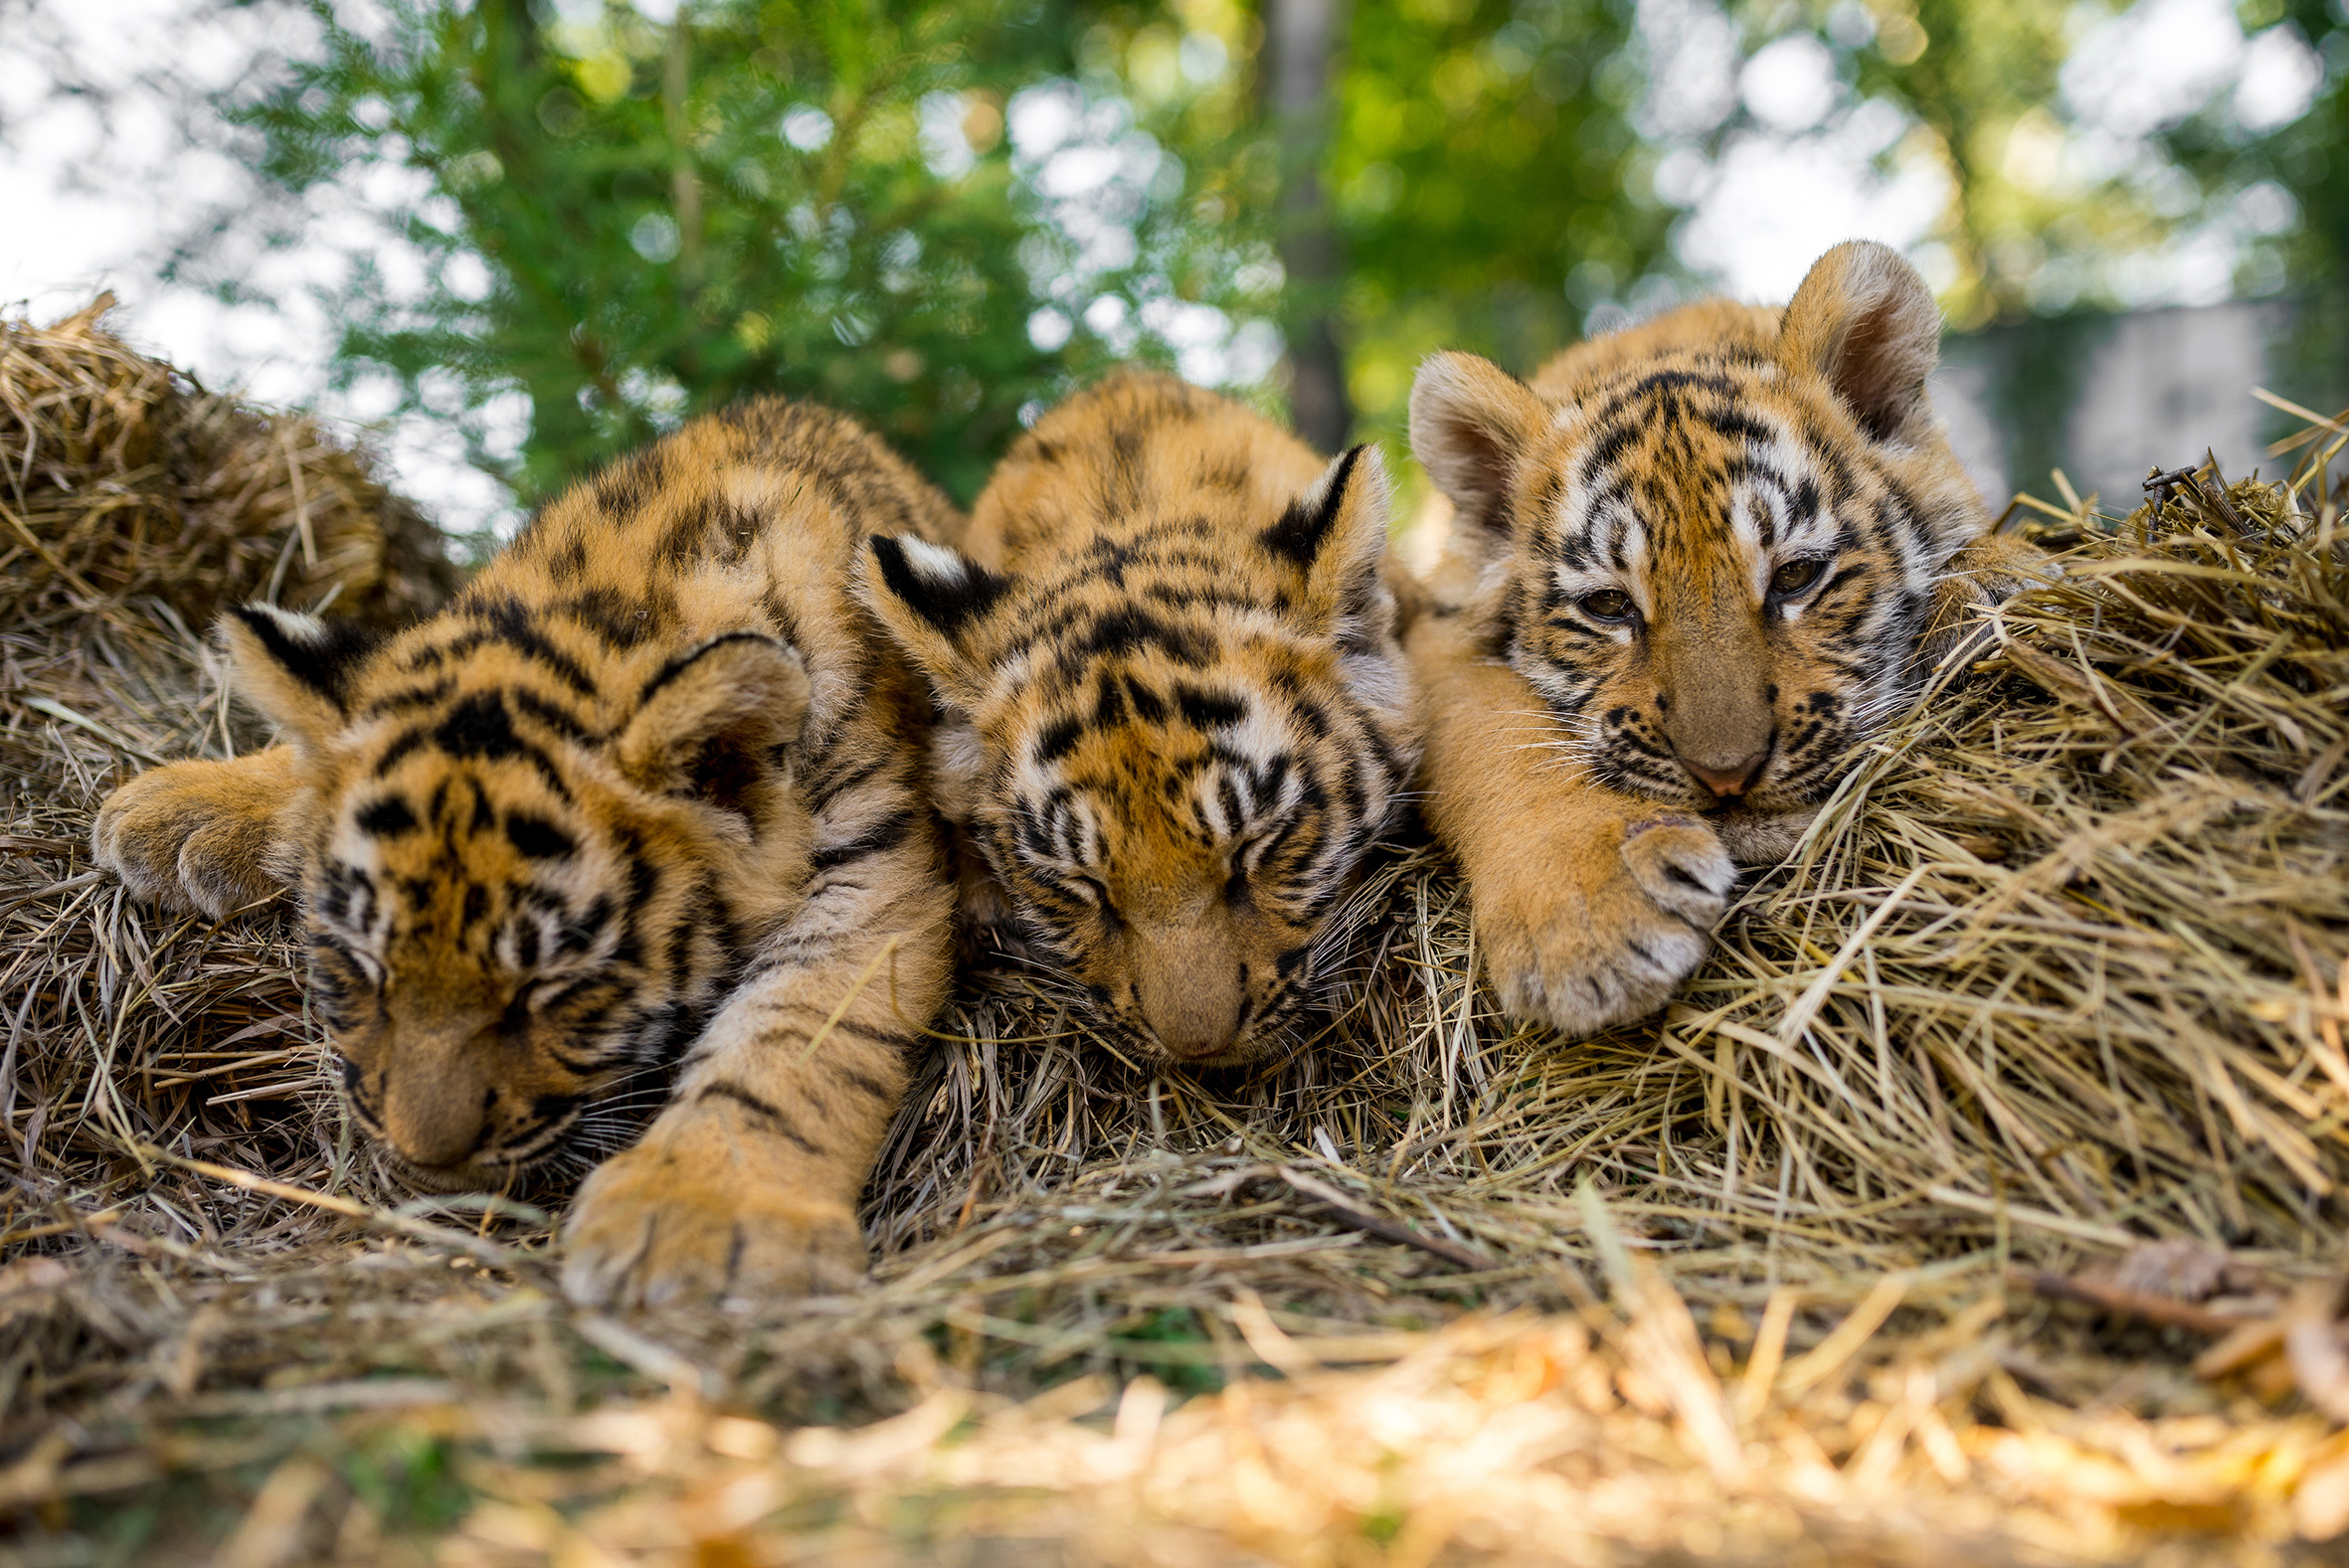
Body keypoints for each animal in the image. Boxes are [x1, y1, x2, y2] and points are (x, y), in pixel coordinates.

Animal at [90, 399, 960, 1309]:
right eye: (368, 967)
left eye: (556, 988)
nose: (427, 1158)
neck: (629, 592)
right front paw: (195, 801)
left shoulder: (878, 861)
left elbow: (800, 1036)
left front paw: (696, 1209)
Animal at [1404, 240, 2045, 1037]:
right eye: (1610, 606)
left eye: (1797, 575)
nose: (1727, 774)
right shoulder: (1425, 647)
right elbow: (1492, 732)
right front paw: (1590, 917)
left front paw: (1992, 583)